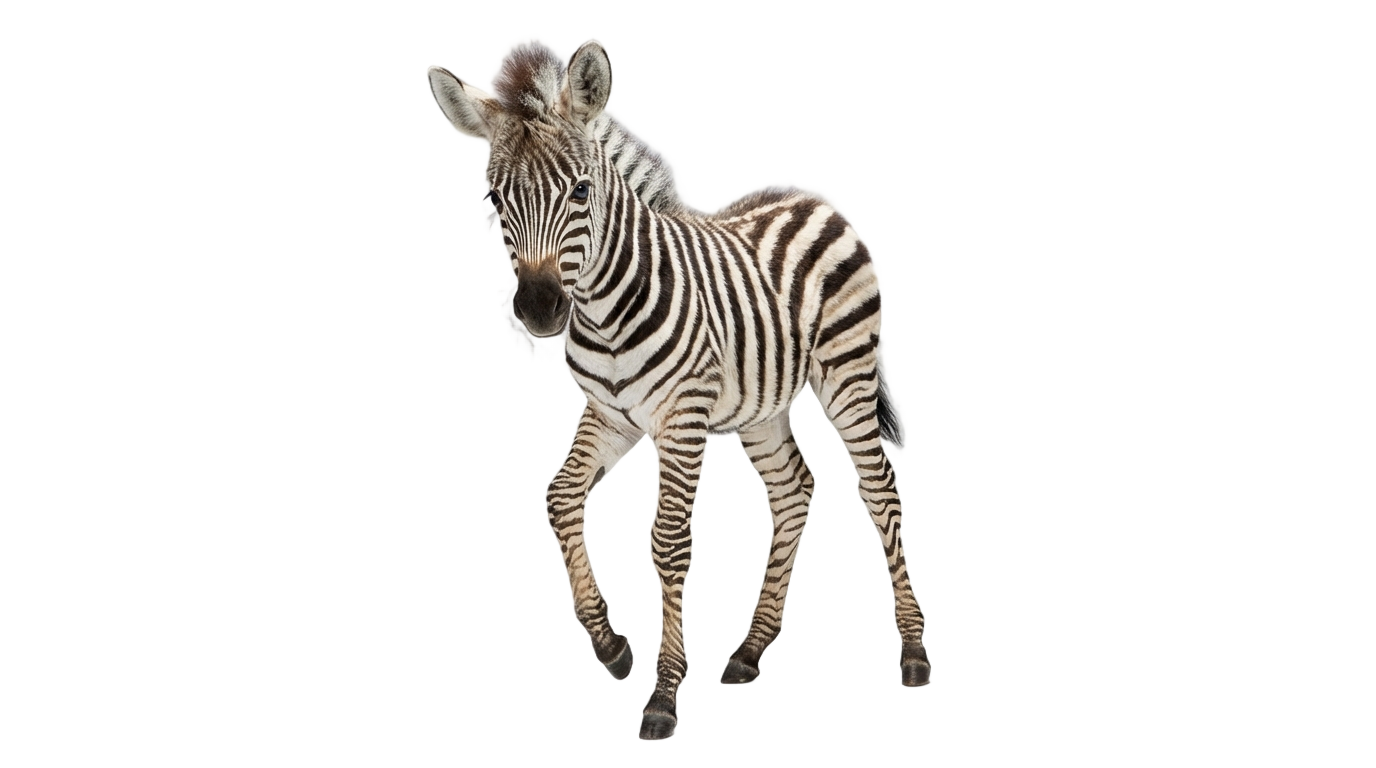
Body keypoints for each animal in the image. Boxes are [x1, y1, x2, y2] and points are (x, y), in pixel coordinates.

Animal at [423, 40, 931, 738]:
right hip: (759, 407)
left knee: (881, 494)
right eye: (497, 202)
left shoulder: (682, 417)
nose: (539, 307)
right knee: (794, 492)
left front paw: (663, 694)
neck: (602, 310)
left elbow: (668, 541)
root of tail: (808, 198)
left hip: (848, 376)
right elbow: (560, 497)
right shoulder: (609, 414)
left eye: (581, 191)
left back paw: (913, 654)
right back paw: (749, 650)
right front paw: (609, 644)